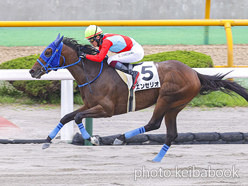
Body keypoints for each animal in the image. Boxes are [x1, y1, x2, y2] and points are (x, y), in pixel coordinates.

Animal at [29, 34, 248, 162]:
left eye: (48, 51)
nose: (32, 71)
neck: (92, 73)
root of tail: (194, 72)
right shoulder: (89, 105)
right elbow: (67, 116)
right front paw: (47, 140)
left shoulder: (106, 110)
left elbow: (76, 117)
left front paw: (93, 139)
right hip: (176, 105)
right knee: (171, 133)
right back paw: (156, 159)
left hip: (166, 99)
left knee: (154, 124)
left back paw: (120, 138)